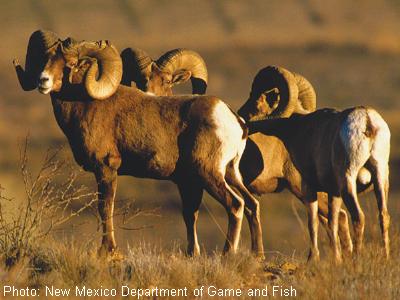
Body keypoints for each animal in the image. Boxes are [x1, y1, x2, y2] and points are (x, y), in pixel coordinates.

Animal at [14, 29, 262, 255]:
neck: (83, 102)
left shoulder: (106, 168)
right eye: (45, 59)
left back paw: (227, 254)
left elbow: (105, 208)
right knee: (251, 204)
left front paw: (107, 251)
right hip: (230, 173)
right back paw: (256, 254)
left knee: (236, 205)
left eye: (71, 63)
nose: (43, 81)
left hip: (208, 173)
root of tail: (234, 120)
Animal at [250, 106, 390, 262]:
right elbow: (332, 222)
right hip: (381, 176)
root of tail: (367, 120)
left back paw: (356, 259)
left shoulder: (308, 187)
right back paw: (386, 258)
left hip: (348, 180)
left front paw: (312, 258)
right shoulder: (334, 192)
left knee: (358, 216)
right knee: (384, 216)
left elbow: (313, 222)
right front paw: (336, 260)